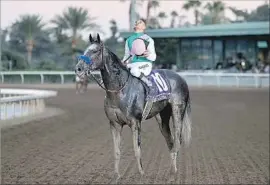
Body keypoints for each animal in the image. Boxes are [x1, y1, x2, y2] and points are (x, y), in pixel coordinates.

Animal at [75, 33, 191, 181]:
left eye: (94, 51)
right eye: (85, 50)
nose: (78, 69)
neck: (119, 90)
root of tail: (181, 79)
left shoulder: (135, 122)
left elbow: (137, 149)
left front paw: (141, 174)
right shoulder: (114, 124)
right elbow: (116, 151)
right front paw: (117, 175)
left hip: (177, 112)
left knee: (177, 140)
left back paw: (173, 174)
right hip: (162, 118)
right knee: (170, 142)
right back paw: (172, 171)